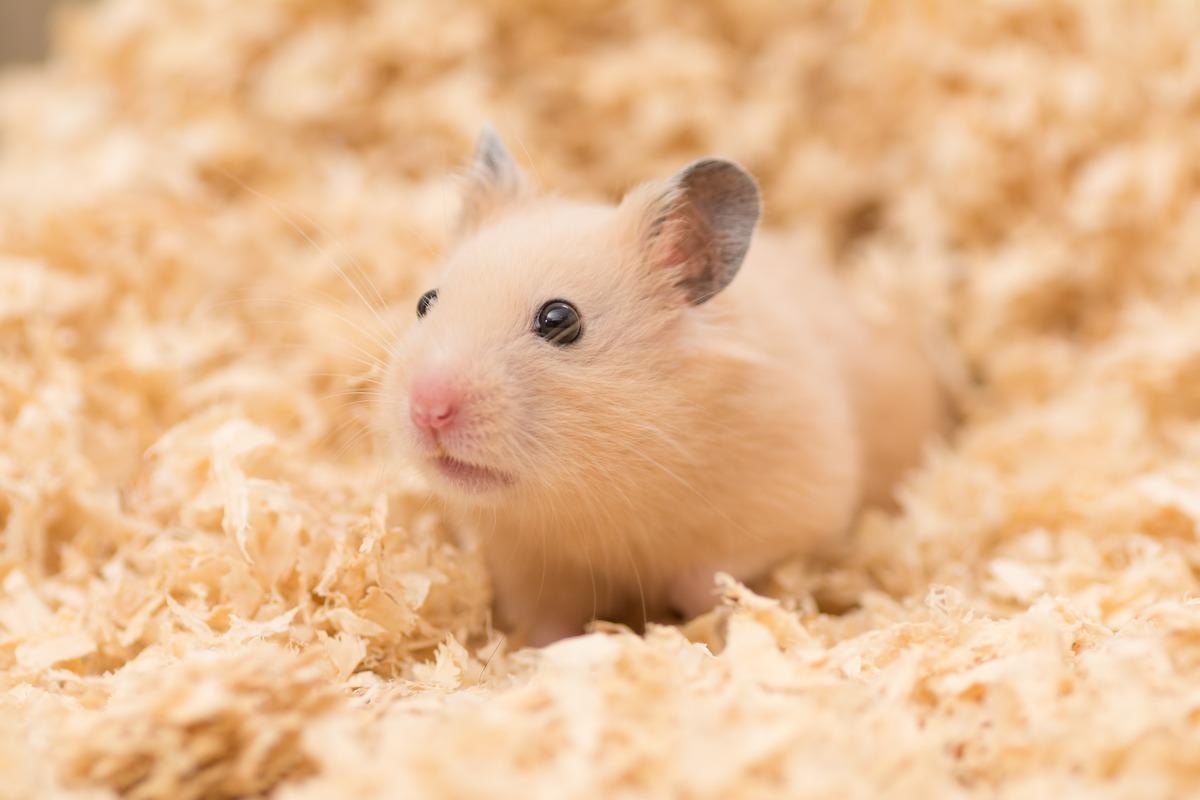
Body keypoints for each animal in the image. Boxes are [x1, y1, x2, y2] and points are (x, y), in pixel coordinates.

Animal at [383, 127, 946, 646]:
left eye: (560, 320)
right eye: (425, 302)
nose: (428, 409)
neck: (600, 487)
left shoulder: (800, 499)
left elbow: (713, 574)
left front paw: (697, 622)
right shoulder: (526, 564)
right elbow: (548, 622)